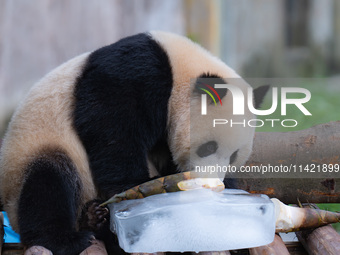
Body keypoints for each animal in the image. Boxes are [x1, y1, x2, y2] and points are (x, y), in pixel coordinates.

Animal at [0, 32, 266, 255]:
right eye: (208, 147)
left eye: (234, 156)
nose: (212, 182)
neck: (179, 70)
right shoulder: (135, 73)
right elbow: (112, 128)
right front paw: (135, 185)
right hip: (36, 149)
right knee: (47, 184)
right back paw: (70, 236)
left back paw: (95, 219)